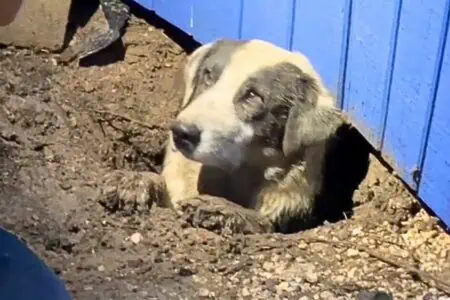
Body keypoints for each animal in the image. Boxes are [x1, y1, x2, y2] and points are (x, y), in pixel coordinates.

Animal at [100, 38, 356, 233]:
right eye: (208, 75)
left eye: (253, 96)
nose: (181, 133)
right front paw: (134, 181)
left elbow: (260, 221)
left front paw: (220, 209)